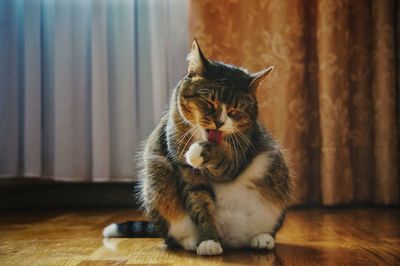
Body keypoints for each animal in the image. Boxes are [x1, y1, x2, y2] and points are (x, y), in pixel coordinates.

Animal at [102, 39, 290, 256]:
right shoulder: (186, 172)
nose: (219, 123)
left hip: (277, 176)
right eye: (209, 102)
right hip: (157, 180)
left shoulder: (242, 150)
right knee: (173, 237)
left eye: (235, 110)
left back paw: (262, 238)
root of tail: (229, 239)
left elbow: (227, 162)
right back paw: (193, 241)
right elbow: (199, 203)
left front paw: (199, 152)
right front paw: (208, 240)